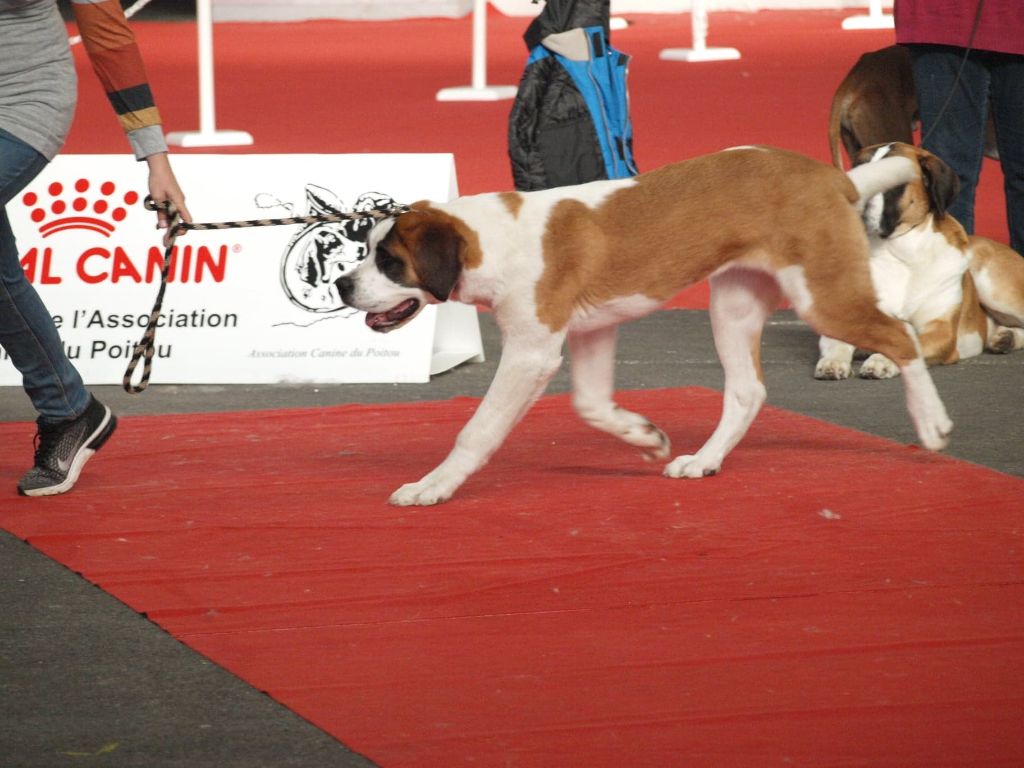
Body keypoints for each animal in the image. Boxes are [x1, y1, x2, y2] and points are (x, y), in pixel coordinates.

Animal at [336, 146, 953, 506]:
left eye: (389, 261)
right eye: (365, 250)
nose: (341, 286)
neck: (496, 238)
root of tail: (829, 176)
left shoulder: (532, 352)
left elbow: (477, 429)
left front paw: (433, 485)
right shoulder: (590, 332)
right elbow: (590, 405)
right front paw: (644, 436)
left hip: (822, 298)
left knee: (901, 336)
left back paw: (931, 422)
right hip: (732, 306)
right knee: (747, 391)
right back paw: (705, 460)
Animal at [816, 142, 1024, 380]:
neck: (897, 254)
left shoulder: (939, 330)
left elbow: (910, 345)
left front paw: (881, 361)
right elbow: (838, 343)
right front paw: (832, 362)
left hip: (995, 288)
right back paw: (1006, 337)